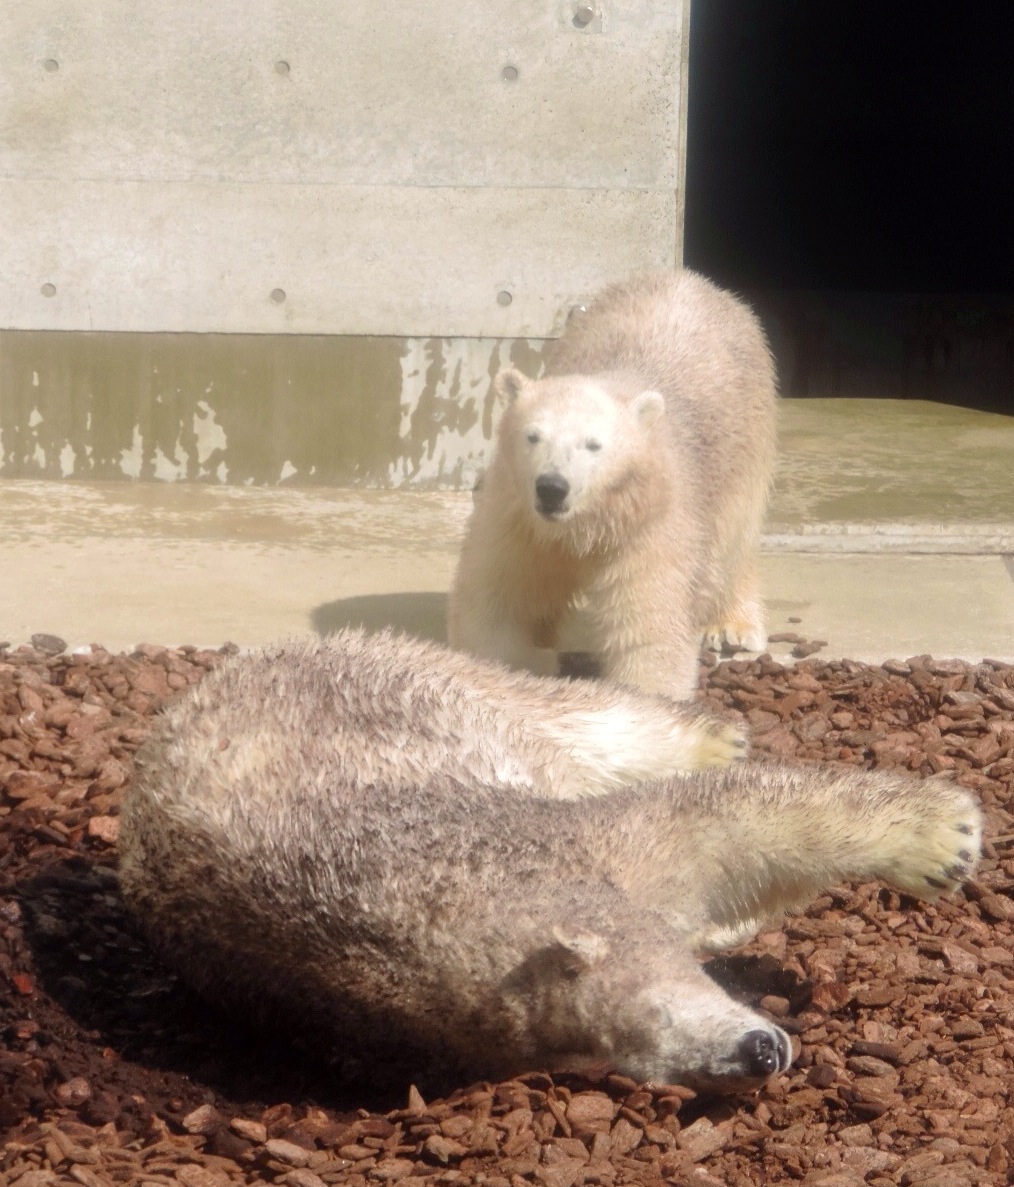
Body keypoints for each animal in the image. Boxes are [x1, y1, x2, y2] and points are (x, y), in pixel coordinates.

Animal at [119, 631, 983, 1092]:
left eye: (661, 1000)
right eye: (641, 1056)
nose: (759, 1054)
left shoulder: (537, 836)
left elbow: (719, 822)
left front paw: (941, 837)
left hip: (397, 674)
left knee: (578, 716)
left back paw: (708, 737)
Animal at [448, 269, 783, 693]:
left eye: (594, 445)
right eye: (533, 435)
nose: (552, 487)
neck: (582, 524)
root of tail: (696, 281)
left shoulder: (650, 520)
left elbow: (647, 624)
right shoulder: (518, 517)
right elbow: (500, 605)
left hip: (746, 439)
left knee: (733, 540)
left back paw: (733, 626)